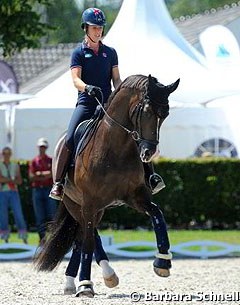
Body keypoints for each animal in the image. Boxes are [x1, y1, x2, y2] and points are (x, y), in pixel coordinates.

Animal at [34, 74, 179, 296]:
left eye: (166, 114)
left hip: (97, 209)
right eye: (146, 111)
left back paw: (76, 281)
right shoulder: (90, 202)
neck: (116, 148)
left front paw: (162, 262)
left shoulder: (136, 196)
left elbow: (158, 215)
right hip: (76, 204)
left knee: (82, 236)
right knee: (87, 236)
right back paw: (97, 277)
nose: (149, 153)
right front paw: (85, 284)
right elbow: (88, 242)